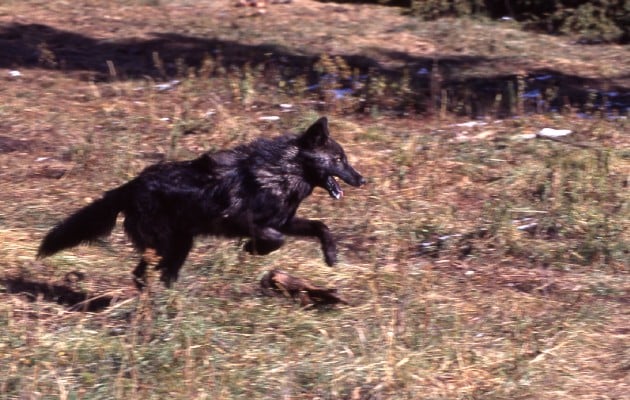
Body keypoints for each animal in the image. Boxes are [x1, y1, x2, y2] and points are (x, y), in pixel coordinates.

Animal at [38, 115, 366, 288]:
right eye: (340, 160)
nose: (362, 179)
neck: (282, 172)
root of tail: (131, 185)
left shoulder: (285, 220)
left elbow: (320, 227)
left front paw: (331, 256)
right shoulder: (243, 221)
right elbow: (277, 239)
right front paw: (253, 249)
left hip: (180, 246)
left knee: (152, 274)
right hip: (166, 246)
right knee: (144, 273)